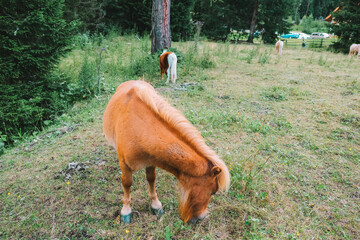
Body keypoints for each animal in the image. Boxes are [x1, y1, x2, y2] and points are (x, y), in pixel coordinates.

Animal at [102, 79, 229, 222]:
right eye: (213, 191)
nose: (201, 218)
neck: (140, 130)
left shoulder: (151, 161)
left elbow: (151, 179)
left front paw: (155, 205)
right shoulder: (125, 165)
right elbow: (127, 183)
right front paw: (126, 210)